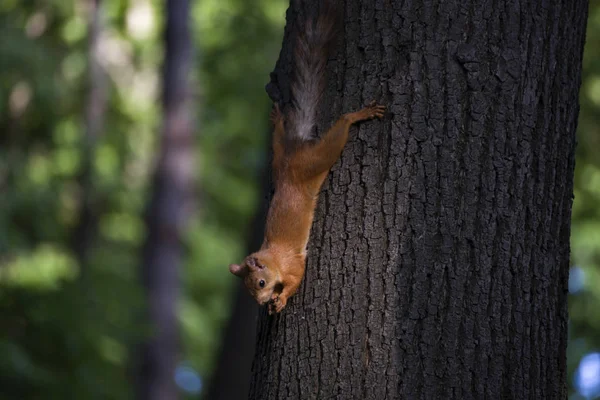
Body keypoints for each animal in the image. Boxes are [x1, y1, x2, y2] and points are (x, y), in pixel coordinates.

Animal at [227, 3, 386, 316]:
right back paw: (278, 119)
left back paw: (358, 115)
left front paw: (281, 299)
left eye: (261, 283)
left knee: (340, 128)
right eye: (250, 291)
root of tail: (295, 153)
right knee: (279, 141)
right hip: (279, 160)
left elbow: (296, 280)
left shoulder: (293, 264)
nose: (260, 302)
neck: (273, 258)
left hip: (316, 159)